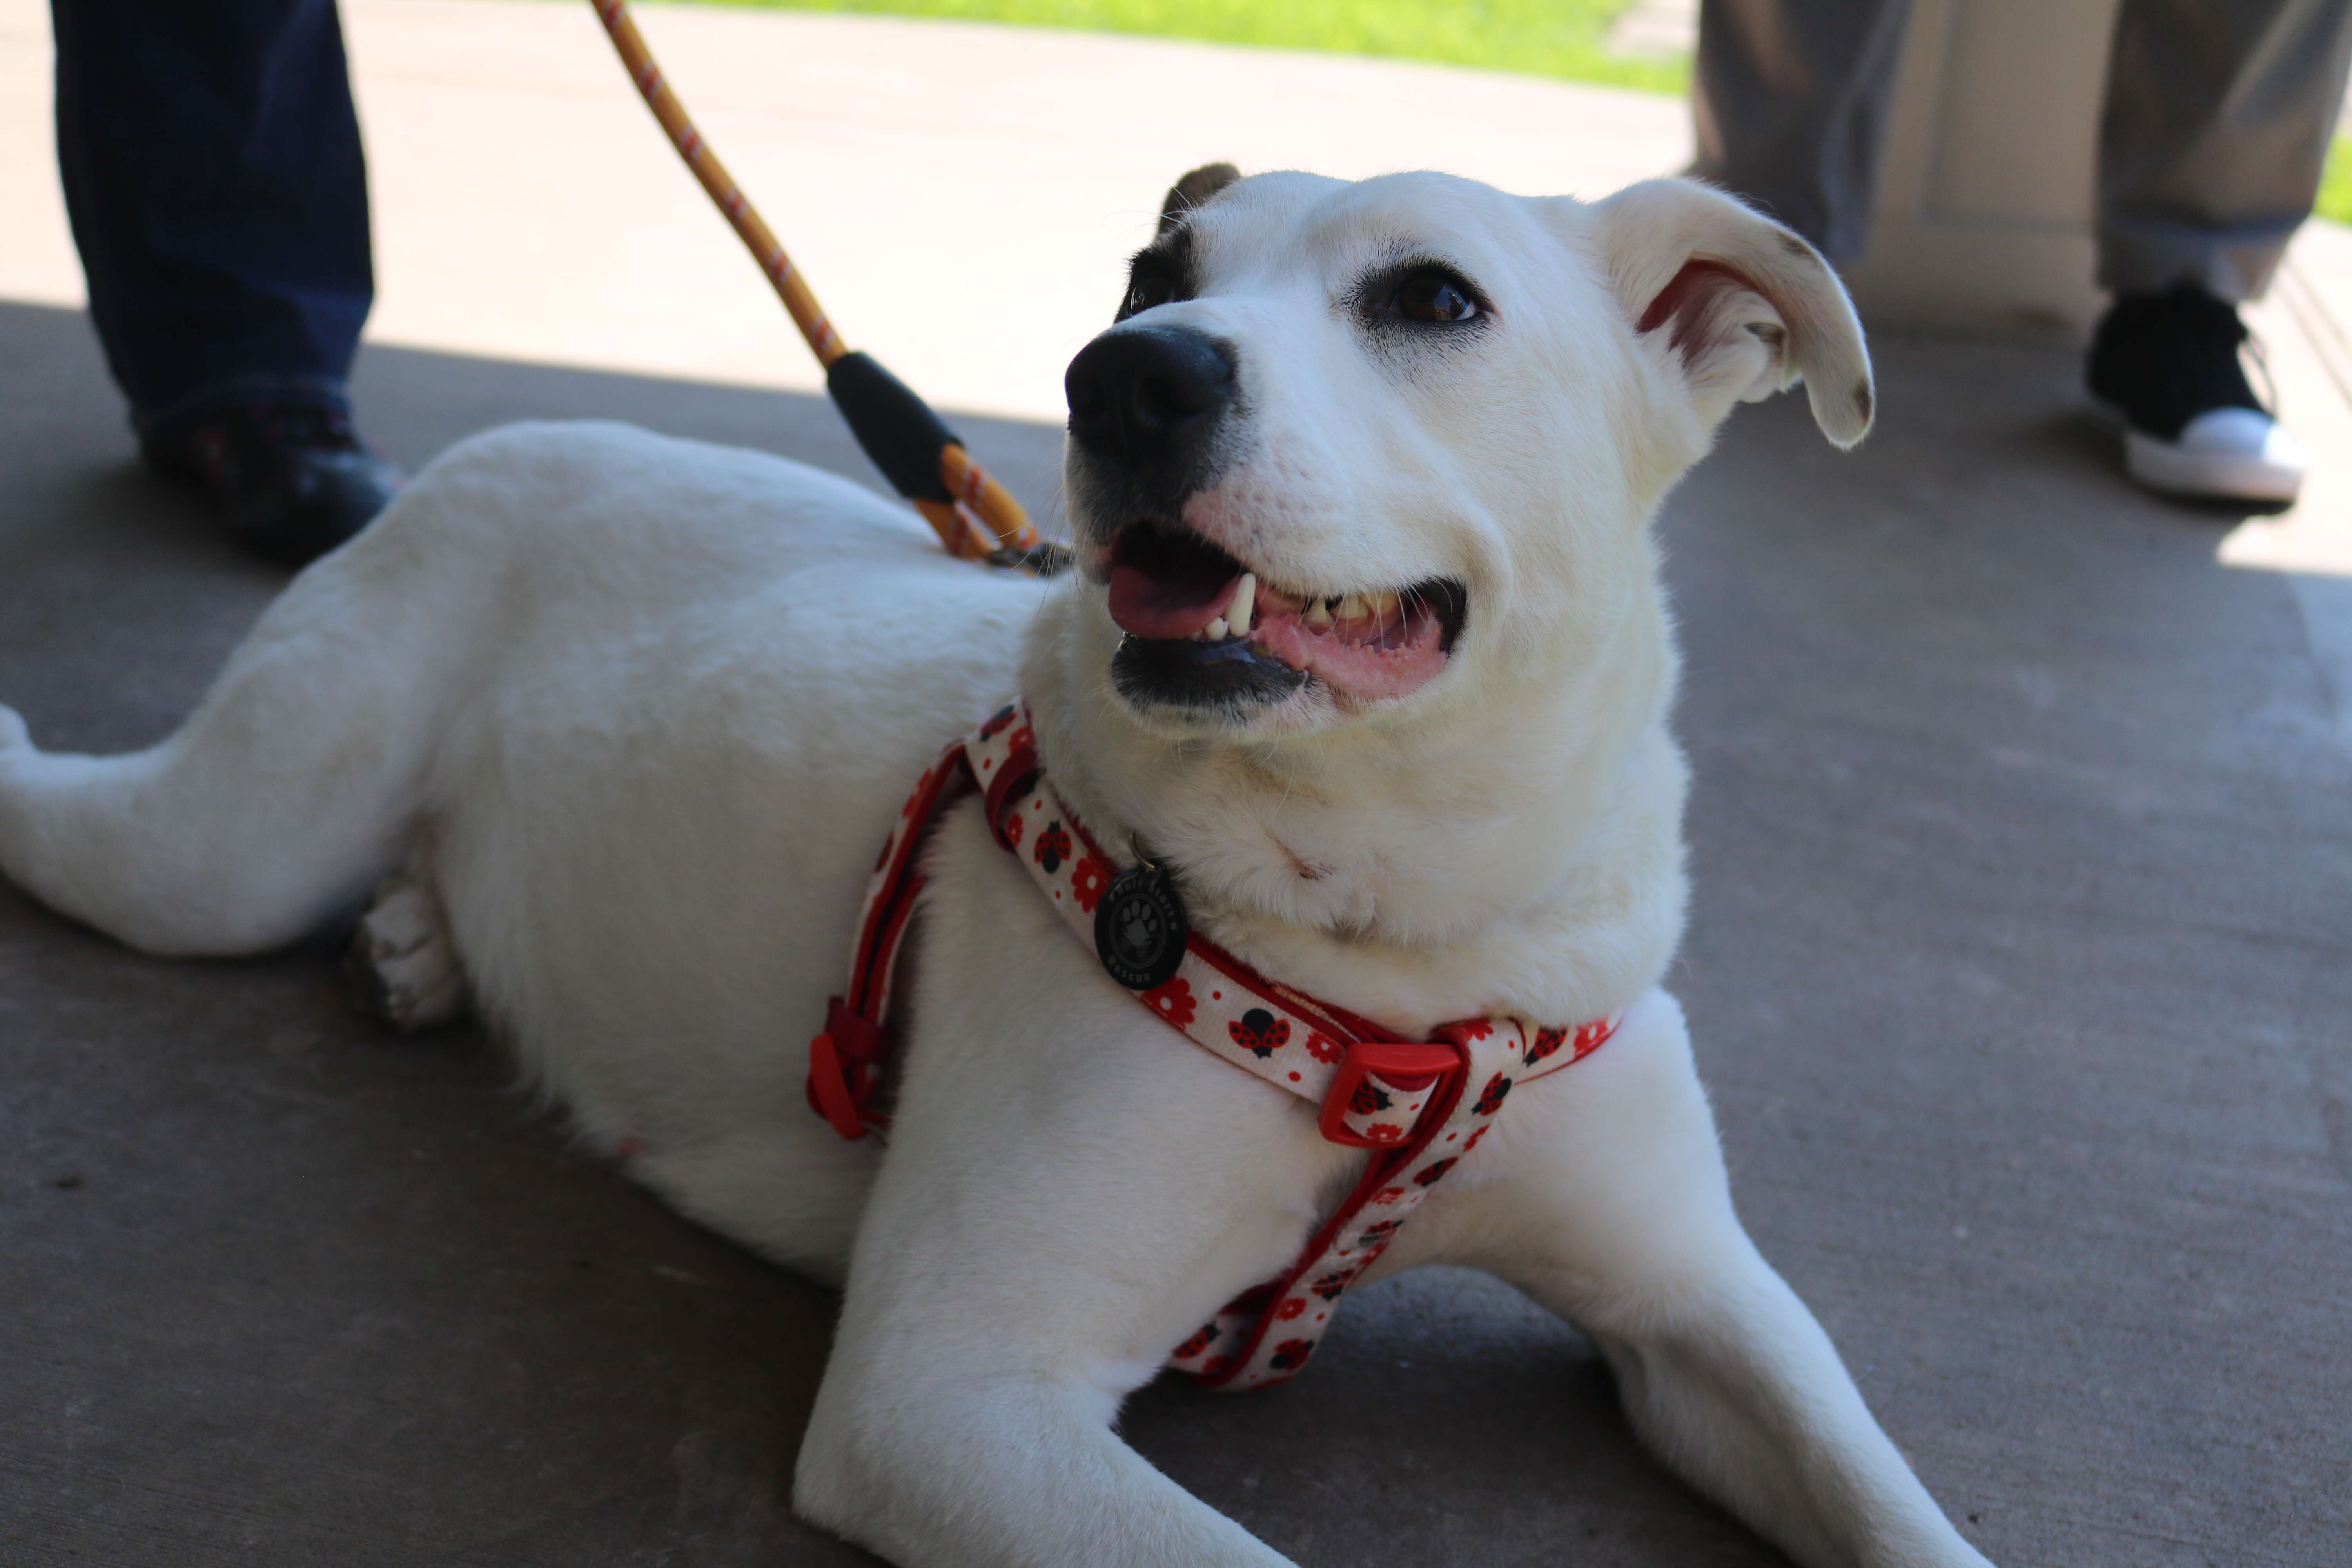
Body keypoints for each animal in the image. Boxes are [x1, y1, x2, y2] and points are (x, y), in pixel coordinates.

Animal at [0, 171, 1994, 1568]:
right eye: (1150, 276)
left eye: (1435, 298)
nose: (1122, 376)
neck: (1391, 927)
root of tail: (523, 429)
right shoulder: (950, 1397)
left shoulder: (1698, 1303)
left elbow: (1897, 1505)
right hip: (225, 847)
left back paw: (417, 944)